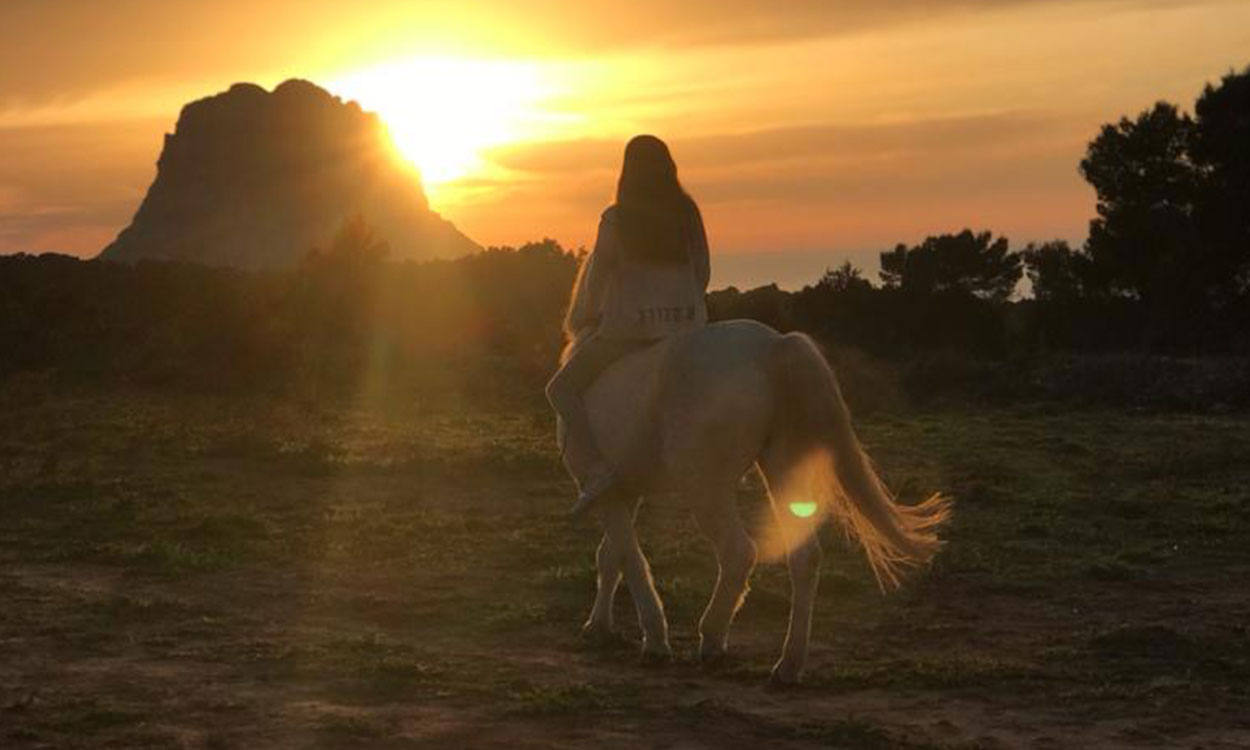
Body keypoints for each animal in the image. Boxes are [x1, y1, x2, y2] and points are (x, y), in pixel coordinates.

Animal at [562, 318, 950, 685]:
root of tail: (772, 346)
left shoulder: (607, 493)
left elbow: (628, 558)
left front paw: (654, 639)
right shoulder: (625, 492)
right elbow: (610, 556)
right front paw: (599, 626)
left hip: (706, 488)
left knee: (739, 552)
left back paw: (713, 637)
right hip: (782, 474)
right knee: (804, 558)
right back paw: (789, 664)